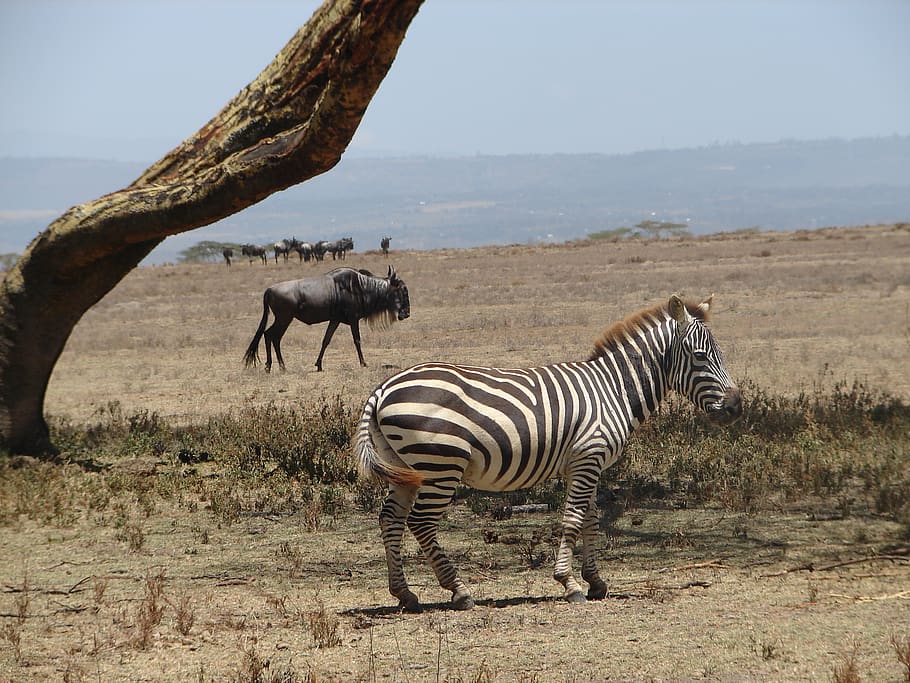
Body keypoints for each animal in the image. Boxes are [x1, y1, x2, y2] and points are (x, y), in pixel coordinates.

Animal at [356, 295, 742, 612]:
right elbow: (572, 519)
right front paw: (569, 584)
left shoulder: (586, 465)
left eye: (720, 354)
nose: (736, 408)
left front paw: (596, 581)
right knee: (420, 522)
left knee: (390, 518)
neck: (613, 389)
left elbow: (590, 520)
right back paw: (459, 590)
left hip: (405, 467)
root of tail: (382, 389)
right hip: (440, 464)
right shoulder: (587, 457)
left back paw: (405, 594)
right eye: (700, 356)